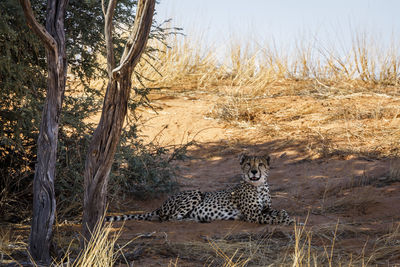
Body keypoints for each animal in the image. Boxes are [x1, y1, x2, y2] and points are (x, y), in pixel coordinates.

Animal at [106, 155, 294, 226]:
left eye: (260, 164)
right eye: (248, 164)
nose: (254, 171)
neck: (259, 186)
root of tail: (161, 205)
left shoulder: (266, 208)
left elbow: (279, 211)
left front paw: (285, 216)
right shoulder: (253, 215)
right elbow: (272, 218)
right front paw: (287, 221)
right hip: (196, 192)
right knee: (168, 218)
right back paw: (194, 219)